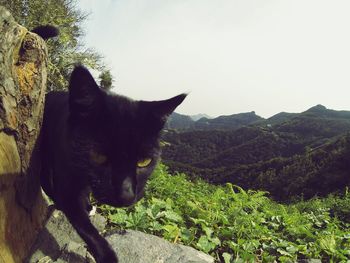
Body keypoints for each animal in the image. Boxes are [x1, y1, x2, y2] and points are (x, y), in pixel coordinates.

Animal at [38, 64, 186, 262]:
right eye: (99, 156)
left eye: (144, 162)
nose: (127, 195)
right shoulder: (67, 177)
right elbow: (85, 227)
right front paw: (107, 255)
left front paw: (87, 205)